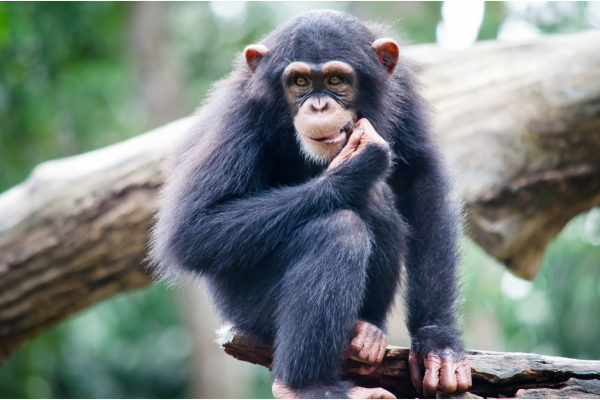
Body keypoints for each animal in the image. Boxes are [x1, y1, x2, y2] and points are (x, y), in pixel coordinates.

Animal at [149, 10, 468, 400]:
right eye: (300, 81)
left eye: (335, 79)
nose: (318, 105)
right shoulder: (238, 118)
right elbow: (192, 228)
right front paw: (354, 168)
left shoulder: (402, 85)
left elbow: (420, 180)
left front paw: (438, 343)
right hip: (247, 312)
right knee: (340, 230)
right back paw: (306, 385)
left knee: (379, 202)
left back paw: (366, 332)